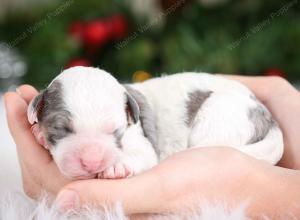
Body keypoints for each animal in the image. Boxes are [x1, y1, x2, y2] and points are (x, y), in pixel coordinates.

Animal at [27, 66, 282, 180]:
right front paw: (39, 134)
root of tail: (269, 117)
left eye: (116, 131)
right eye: (60, 130)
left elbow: (141, 154)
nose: (91, 162)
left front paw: (117, 166)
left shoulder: (140, 140)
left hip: (218, 117)